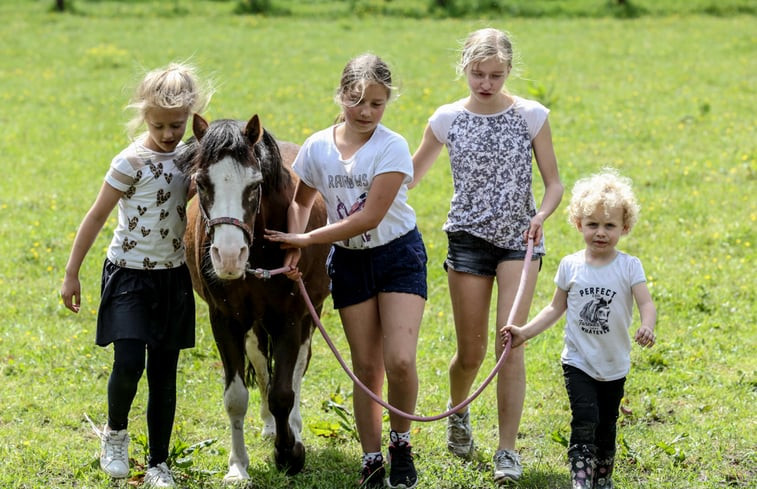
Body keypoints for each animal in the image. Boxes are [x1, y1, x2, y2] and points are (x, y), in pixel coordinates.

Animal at [180, 113, 330, 476]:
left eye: (254, 185)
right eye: (201, 183)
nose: (229, 256)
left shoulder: (291, 318)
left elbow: (284, 392)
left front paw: (290, 452)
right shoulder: (225, 321)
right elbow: (237, 397)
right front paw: (238, 466)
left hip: (309, 312)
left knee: (297, 368)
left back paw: (293, 425)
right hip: (255, 325)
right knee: (262, 365)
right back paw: (270, 425)